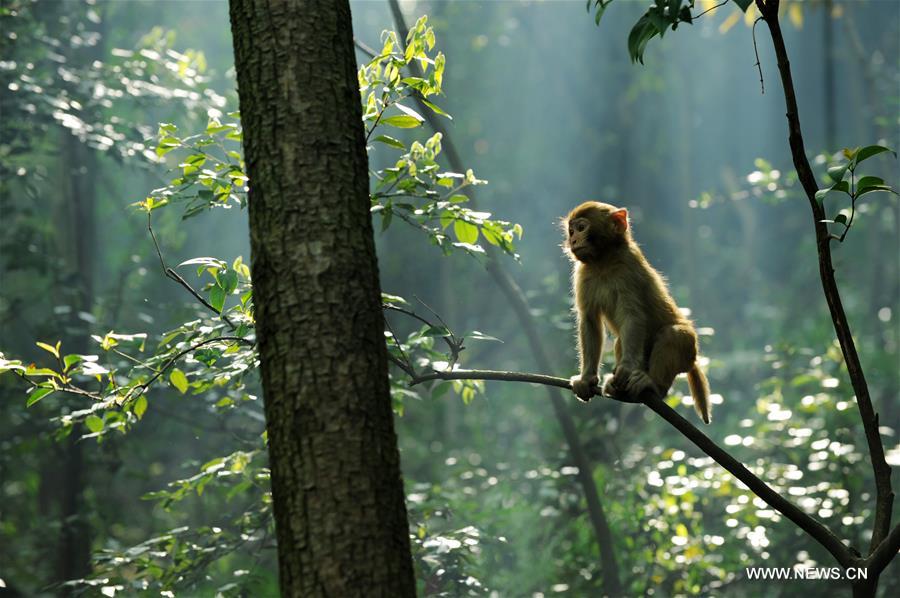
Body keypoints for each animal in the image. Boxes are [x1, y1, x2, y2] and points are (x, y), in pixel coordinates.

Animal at [564, 203, 712, 426]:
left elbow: (632, 315)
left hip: (687, 351)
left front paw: (625, 368)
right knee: (620, 342)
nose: (573, 240)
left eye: (581, 228)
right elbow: (589, 320)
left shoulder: (629, 268)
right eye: (571, 231)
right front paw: (586, 378)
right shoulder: (583, 274)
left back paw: (653, 385)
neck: (603, 262)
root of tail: (692, 361)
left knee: (674, 334)